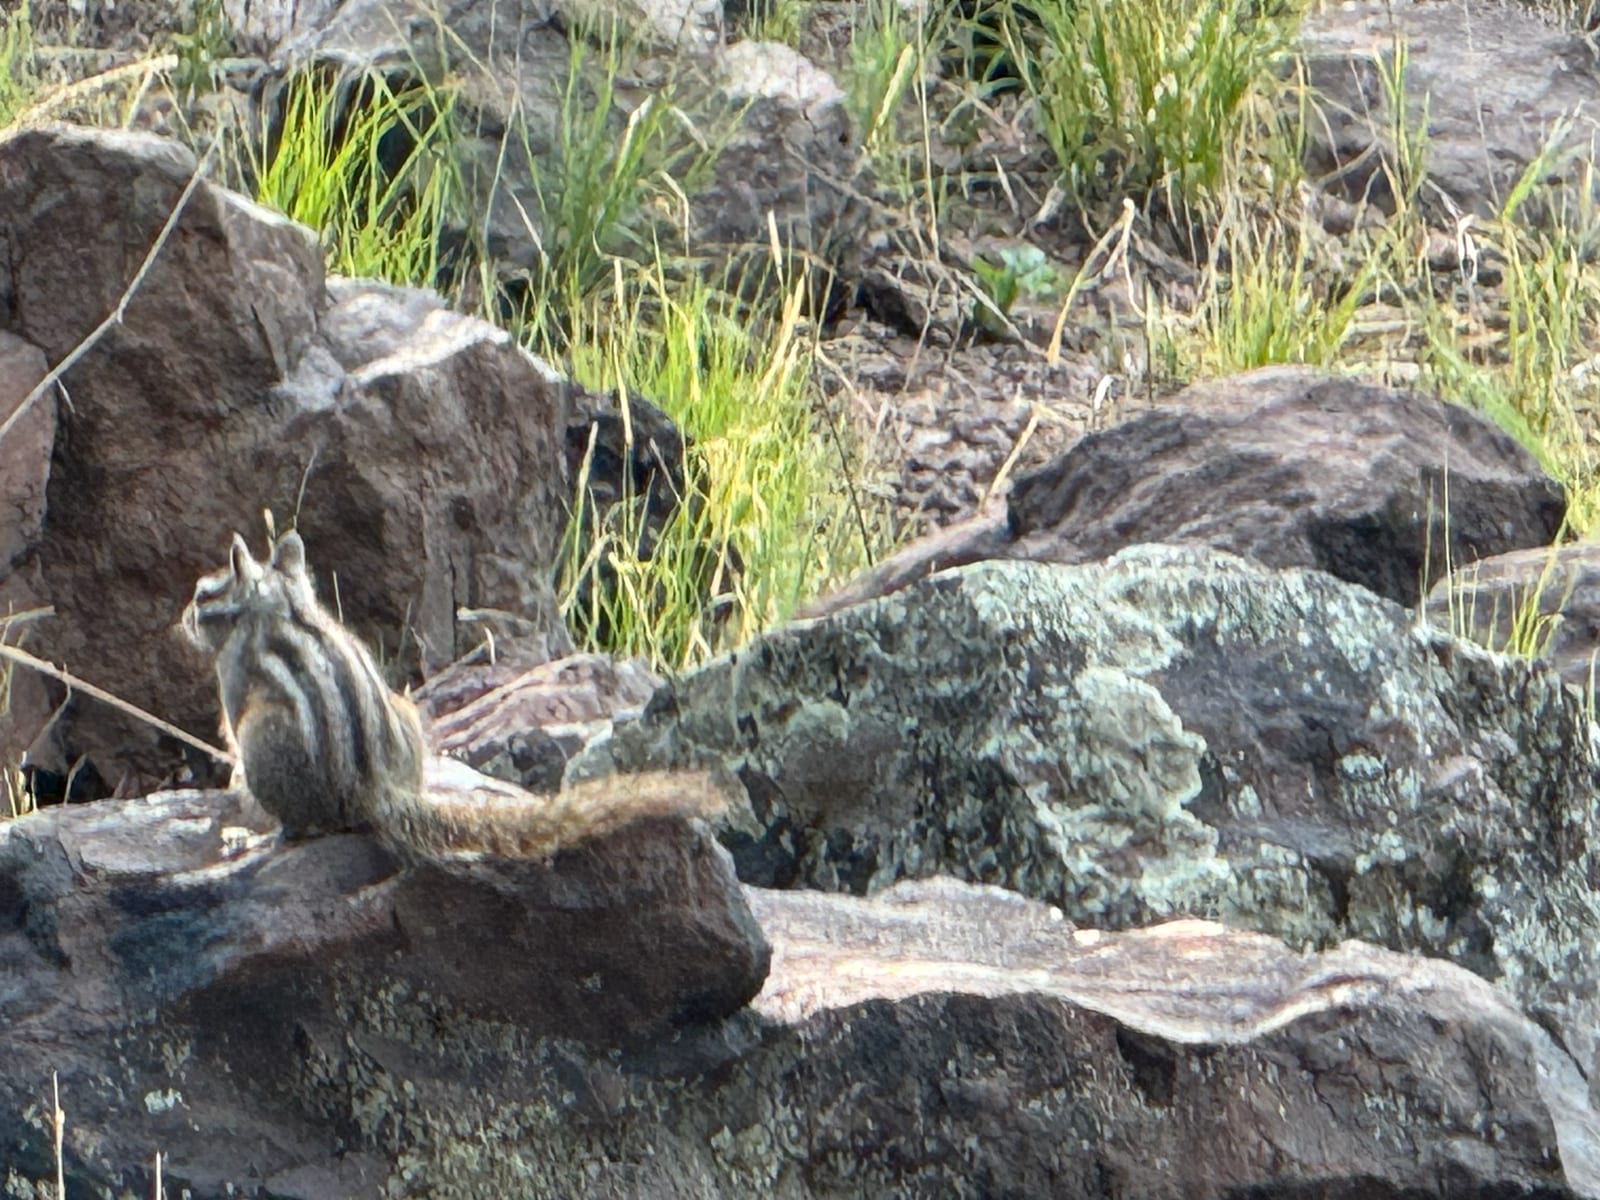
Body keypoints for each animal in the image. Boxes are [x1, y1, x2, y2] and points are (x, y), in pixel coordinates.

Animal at [181, 527, 726, 861]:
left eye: (204, 593)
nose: (183, 617)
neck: (282, 603)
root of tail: (376, 791)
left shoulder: (234, 679)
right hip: (406, 709)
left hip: (262, 739)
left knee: (300, 825)